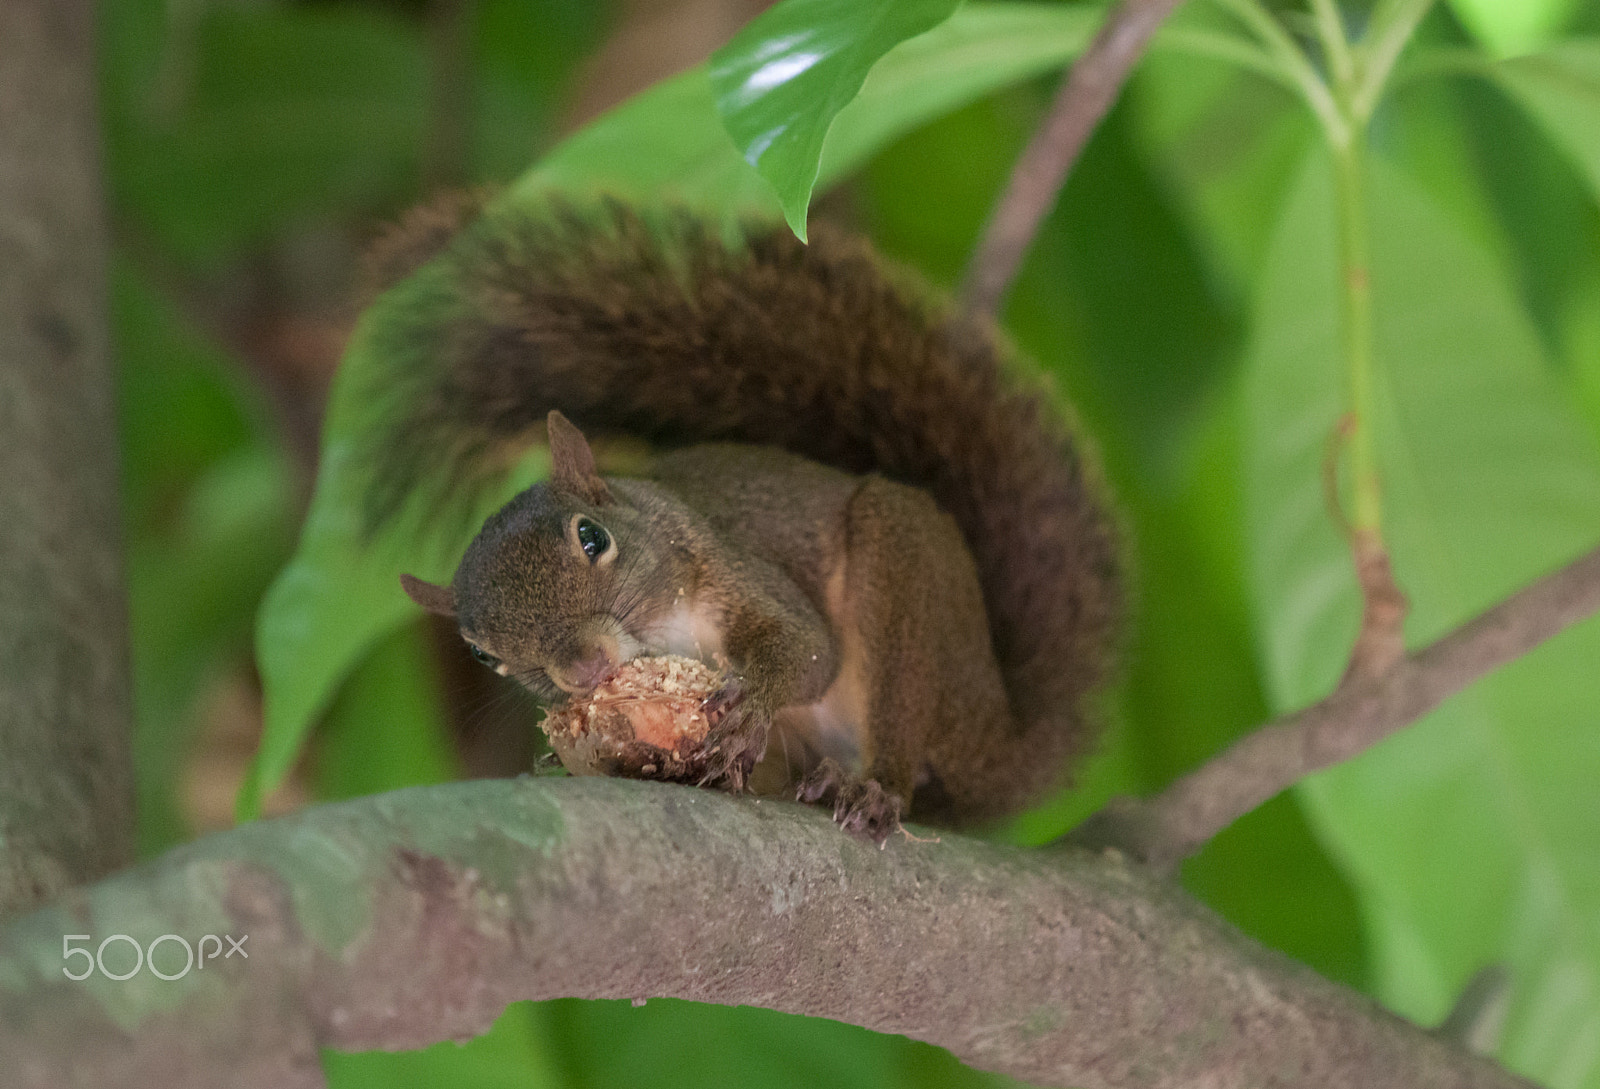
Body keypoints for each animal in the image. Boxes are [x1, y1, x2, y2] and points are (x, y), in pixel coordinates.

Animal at [366, 198, 1123, 841]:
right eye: (481, 653)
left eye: (591, 537)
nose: (582, 669)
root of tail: (1000, 736)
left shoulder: (734, 568)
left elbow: (809, 647)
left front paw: (754, 701)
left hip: (908, 585)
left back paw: (873, 787)